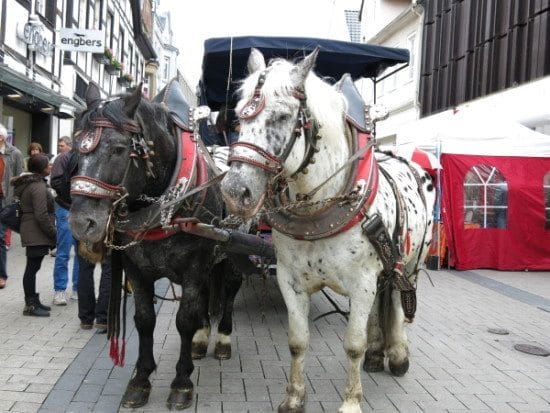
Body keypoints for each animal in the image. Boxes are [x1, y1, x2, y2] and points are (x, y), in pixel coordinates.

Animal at [67, 83, 244, 408]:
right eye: (75, 149)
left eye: (118, 149)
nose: (81, 223)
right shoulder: (136, 269)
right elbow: (144, 320)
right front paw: (140, 380)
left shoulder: (194, 266)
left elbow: (184, 320)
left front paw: (182, 382)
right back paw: (202, 339)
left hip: (233, 253)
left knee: (228, 292)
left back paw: (223, 339)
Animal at [220, 48, 436, 412]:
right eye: (237, 118)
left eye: (282, 116)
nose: (236, 191)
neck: (318, 207)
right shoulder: (290, 280)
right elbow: (297, 341)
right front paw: (294, 397)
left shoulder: (361, 283)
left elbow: (352, 344)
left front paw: (350, 401)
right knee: (381, 301)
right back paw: (377, 353)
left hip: (410, 263)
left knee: (398, 300)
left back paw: (397, 355)